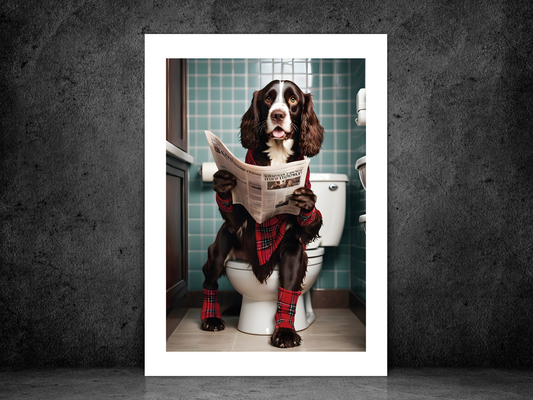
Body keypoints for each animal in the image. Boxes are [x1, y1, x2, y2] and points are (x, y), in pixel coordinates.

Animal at [201, 79, 322, 346]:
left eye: (293, 99)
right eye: (268, 98)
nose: (277, 114)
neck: (277, 157)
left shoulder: (295, 242)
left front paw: (285, 332)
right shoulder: (239, 221)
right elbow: (234, 213)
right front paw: (223, 184)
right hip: (220, 249)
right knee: (209, 279)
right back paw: (211, 318)